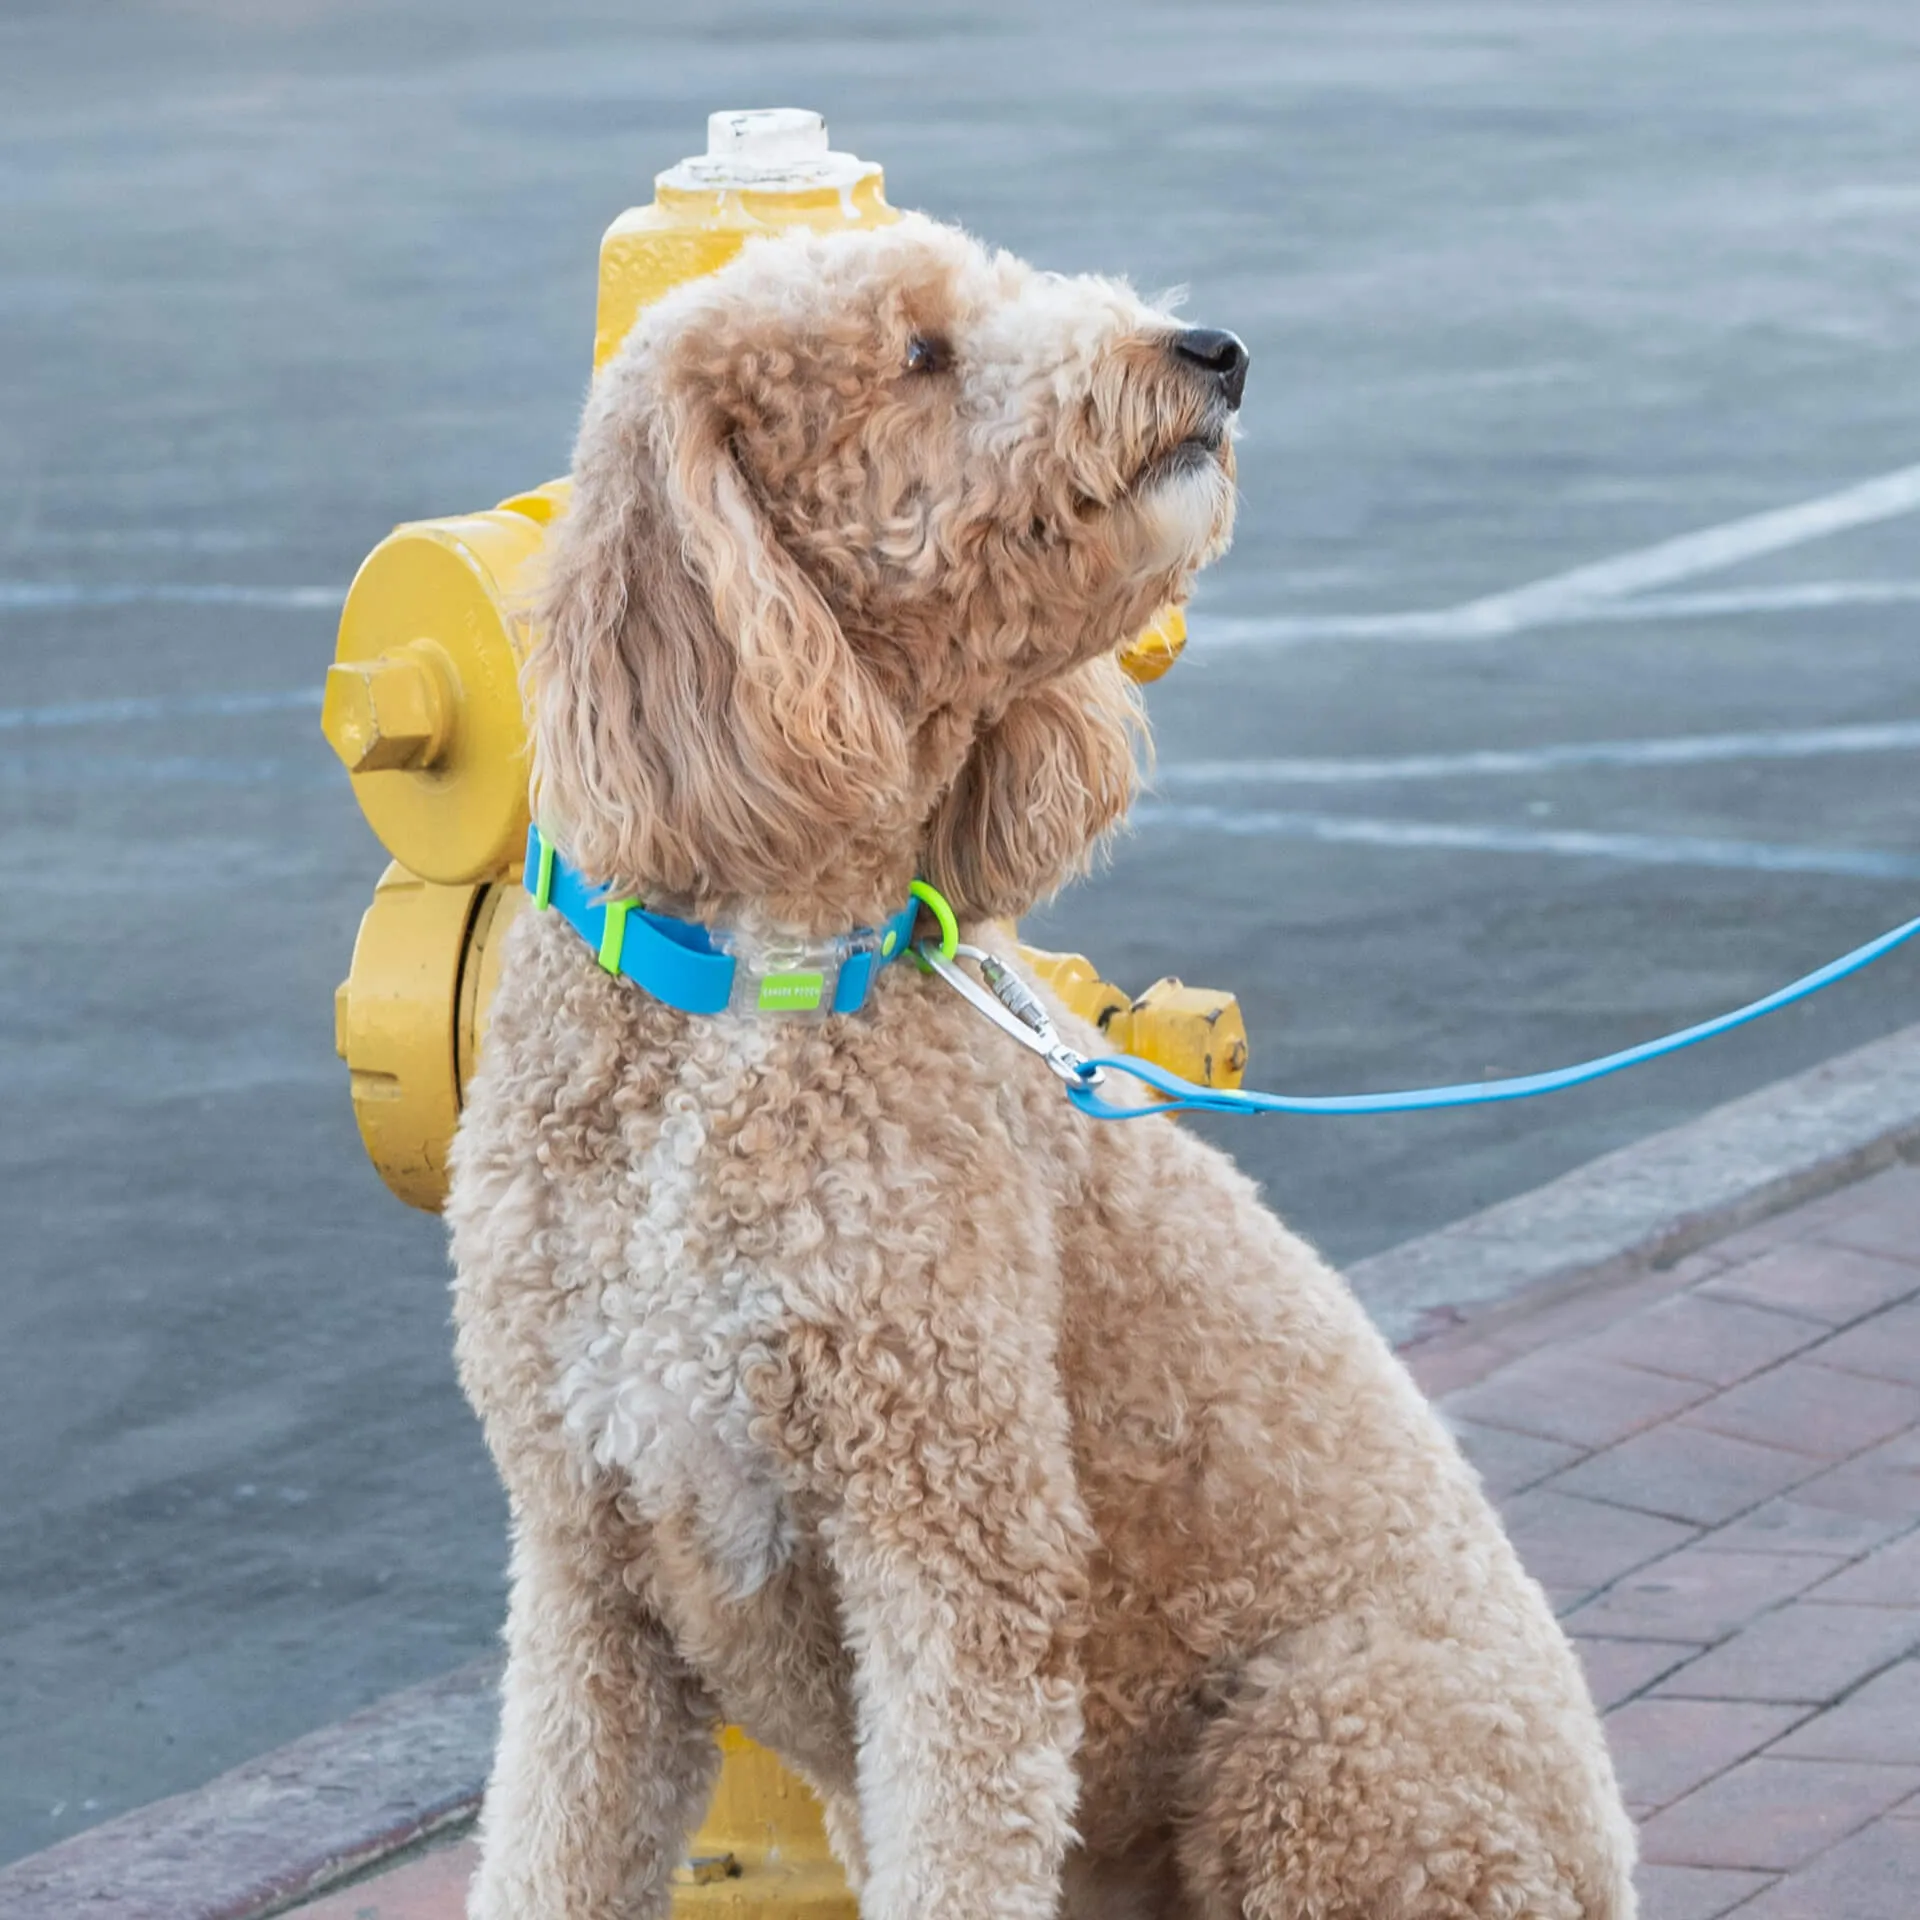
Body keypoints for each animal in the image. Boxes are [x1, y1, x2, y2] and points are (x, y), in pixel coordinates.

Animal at [449, 214, 1635, 1920]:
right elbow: (550, 1852)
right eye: (920, 353)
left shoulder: (961, 1558)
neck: (753, 979)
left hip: (1329, 1738)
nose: (1212, 347)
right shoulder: (591, 1578)